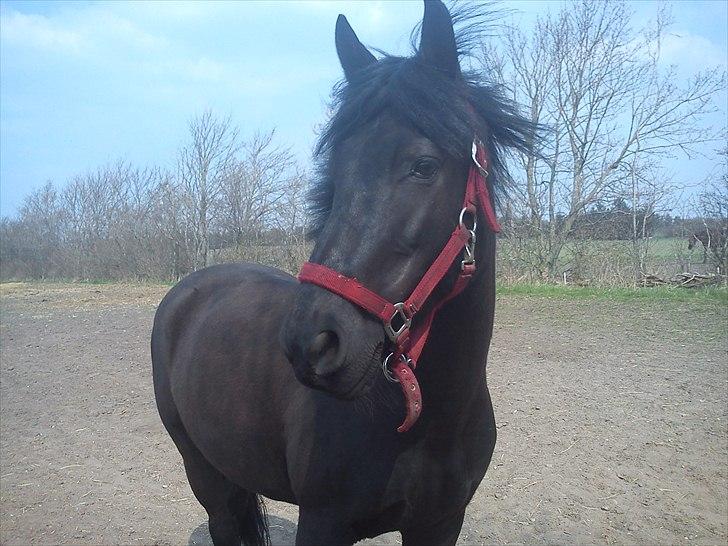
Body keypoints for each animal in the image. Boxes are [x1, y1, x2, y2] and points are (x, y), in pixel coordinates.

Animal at [151, 2, 534, 544]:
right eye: (336, 169)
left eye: (423, 165)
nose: (312, 343)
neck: (429, 422)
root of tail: (188, 290)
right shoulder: (322, 523)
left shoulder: (441, 523)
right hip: (205, 473)